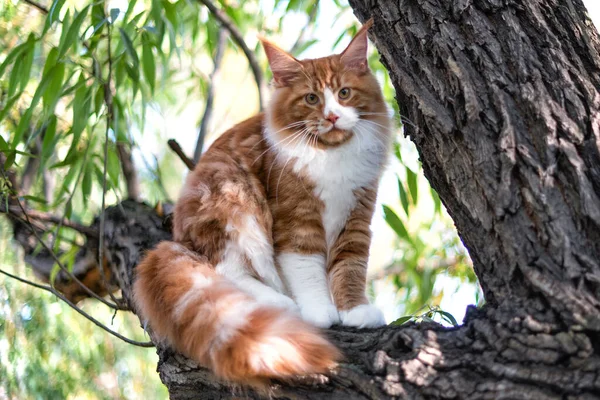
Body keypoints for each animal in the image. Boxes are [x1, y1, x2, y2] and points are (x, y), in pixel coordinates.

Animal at [132, 18, 394, 388]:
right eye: (312, 98)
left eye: (344, 93)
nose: (331, 117)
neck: (330, 157)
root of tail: (177, 241)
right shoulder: (296, 219)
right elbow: (307, 269)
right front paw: (320, 312)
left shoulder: (356, 216)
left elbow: (351, 268)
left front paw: (355, 311)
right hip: (235, 202)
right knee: (226, 270)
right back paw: (282, 303)